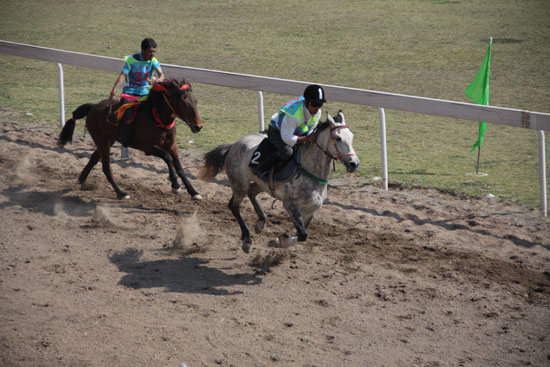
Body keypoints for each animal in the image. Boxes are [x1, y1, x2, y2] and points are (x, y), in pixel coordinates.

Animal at [57, 77, 204, 201]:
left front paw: (194, 192)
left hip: (108, 140)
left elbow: (180, 168)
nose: (198, 126)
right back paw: (121, 193)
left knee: (94, 158)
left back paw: (82, 180)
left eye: (196, 101)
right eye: (184, 103)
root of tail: (93, 107)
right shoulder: (149, 148)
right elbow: (167, 158)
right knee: (106, 168)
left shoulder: (172, 146)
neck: (157, 119)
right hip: (102, 140)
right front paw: (175, 185)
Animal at [201, 110, 360, 253]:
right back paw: (247, 240)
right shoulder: (290, 205)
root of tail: (234, 145)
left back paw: (261, 223)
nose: (354, 163)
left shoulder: (311, 210)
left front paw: (279, 240)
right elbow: (303, 234)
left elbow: (302, 234)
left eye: (351, 136)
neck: (310, 171)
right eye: (338, 138)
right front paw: (281, 240)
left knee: (251, 193)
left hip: (261, 184)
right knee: (234, 206)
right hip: (239, 184)